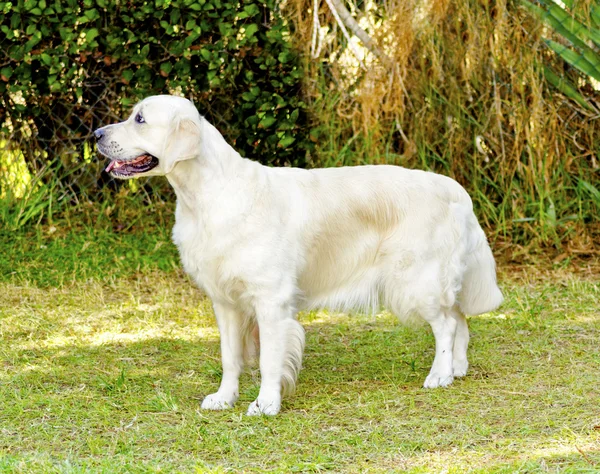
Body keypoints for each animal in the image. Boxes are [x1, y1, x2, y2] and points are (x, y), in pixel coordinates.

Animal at [96, 95, 504, 414]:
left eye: (140, 119)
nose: (96, 135)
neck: (206, 196)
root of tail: (455, 189)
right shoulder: (224, 301)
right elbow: (230, 357)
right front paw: (224, 397)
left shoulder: (271, 299)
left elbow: (269, 360)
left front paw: (265, 403)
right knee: (459, 318)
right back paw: (458, 368)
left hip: (415, 279)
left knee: (447, 323)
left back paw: (440, 374)